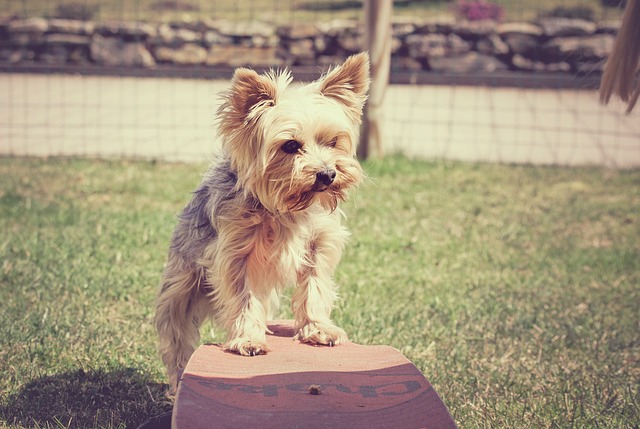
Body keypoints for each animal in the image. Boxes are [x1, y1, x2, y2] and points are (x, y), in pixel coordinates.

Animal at [153, 51, 370, 390]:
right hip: (181, 283)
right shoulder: (235, 253)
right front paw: (248, 339)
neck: (287, 207)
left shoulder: (318, 246)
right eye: (290, 145)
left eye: (333, 142)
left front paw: (318, 328)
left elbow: (315, 286)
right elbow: (243, 296)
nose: (327, 174)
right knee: (176, 332)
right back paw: (178, 381)